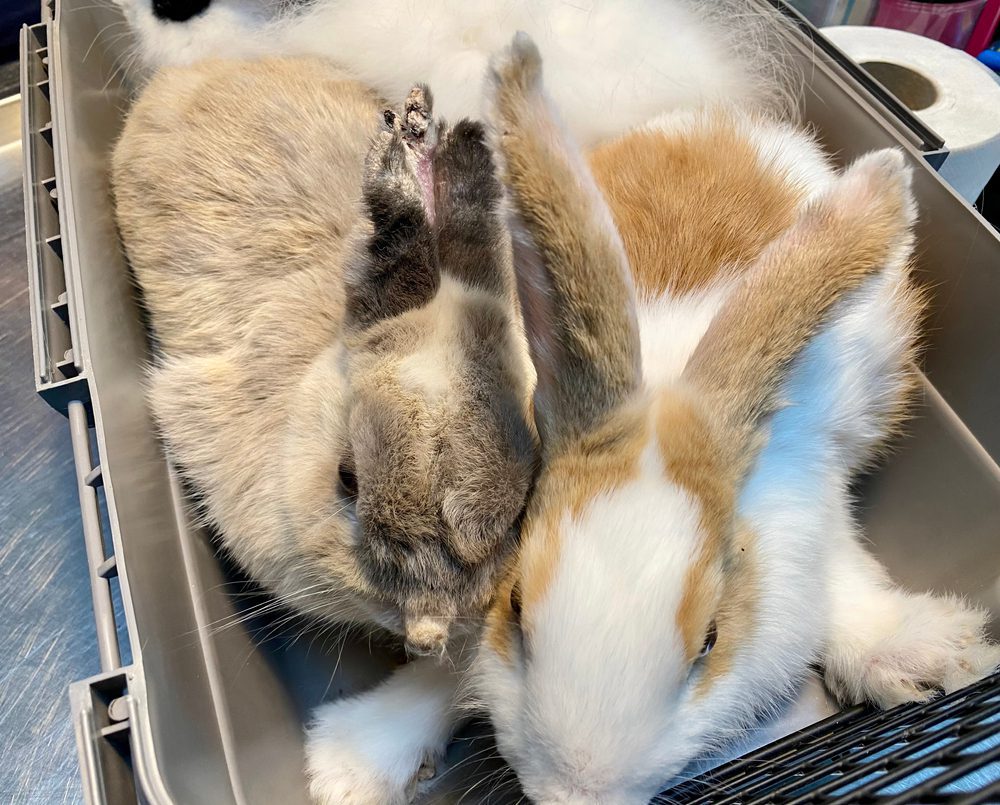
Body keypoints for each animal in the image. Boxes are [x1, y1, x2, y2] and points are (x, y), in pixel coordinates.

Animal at [303, 35, 1000, 805]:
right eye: (515, 606)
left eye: (711, 641)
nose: (573, 791)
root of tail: (724, 118)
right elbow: (450, 663)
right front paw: (351, 764)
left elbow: (843, 568)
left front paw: (919, 653)